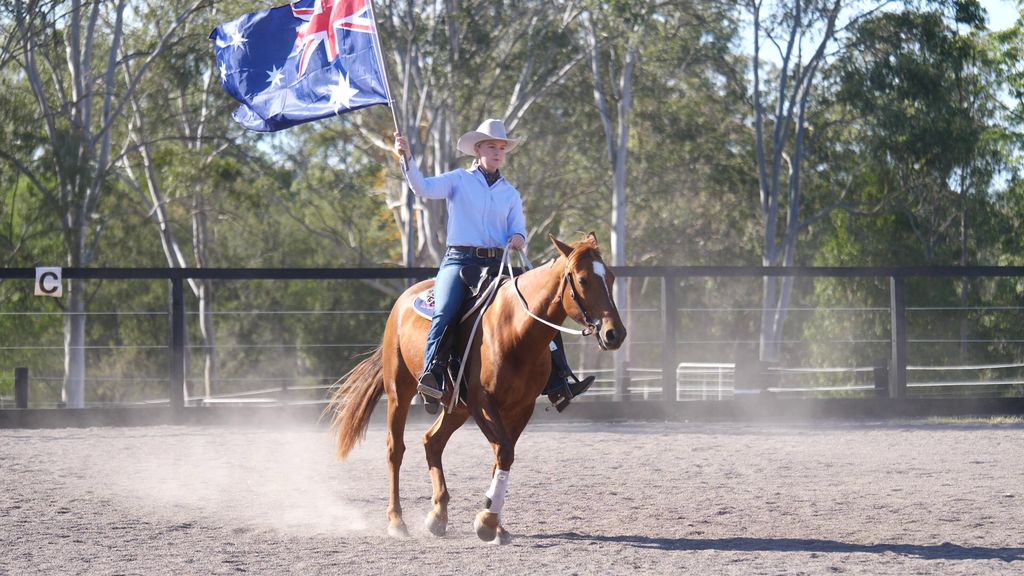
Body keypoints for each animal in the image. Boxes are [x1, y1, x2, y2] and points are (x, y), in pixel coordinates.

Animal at [325, 232, 626, 544]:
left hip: (456, 407)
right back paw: (397, 521)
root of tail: (402, 303)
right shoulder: (482, 402)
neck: (515, 330)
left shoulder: (521, 407)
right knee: (395, 449)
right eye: (583, 279)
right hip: (400, 390)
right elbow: (503, 452)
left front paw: (494, 520)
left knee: (432, 442)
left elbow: (502, 456)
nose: (614, 333)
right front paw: (487, 521)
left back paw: (438, 516)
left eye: (611, 277)